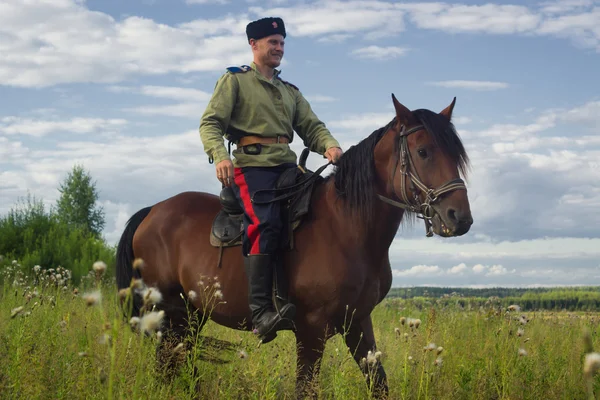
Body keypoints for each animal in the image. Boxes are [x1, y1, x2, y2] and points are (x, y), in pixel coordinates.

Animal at [116, 95, 474, 398]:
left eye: (457, 156)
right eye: (423, 151)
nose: (460, 218)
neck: (346, 229)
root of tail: (152, 211)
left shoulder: (358, 323)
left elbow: (378, 383)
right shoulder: (311, 331)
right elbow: (306, 389)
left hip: (190, 316)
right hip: (171, 314)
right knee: (167, 365)